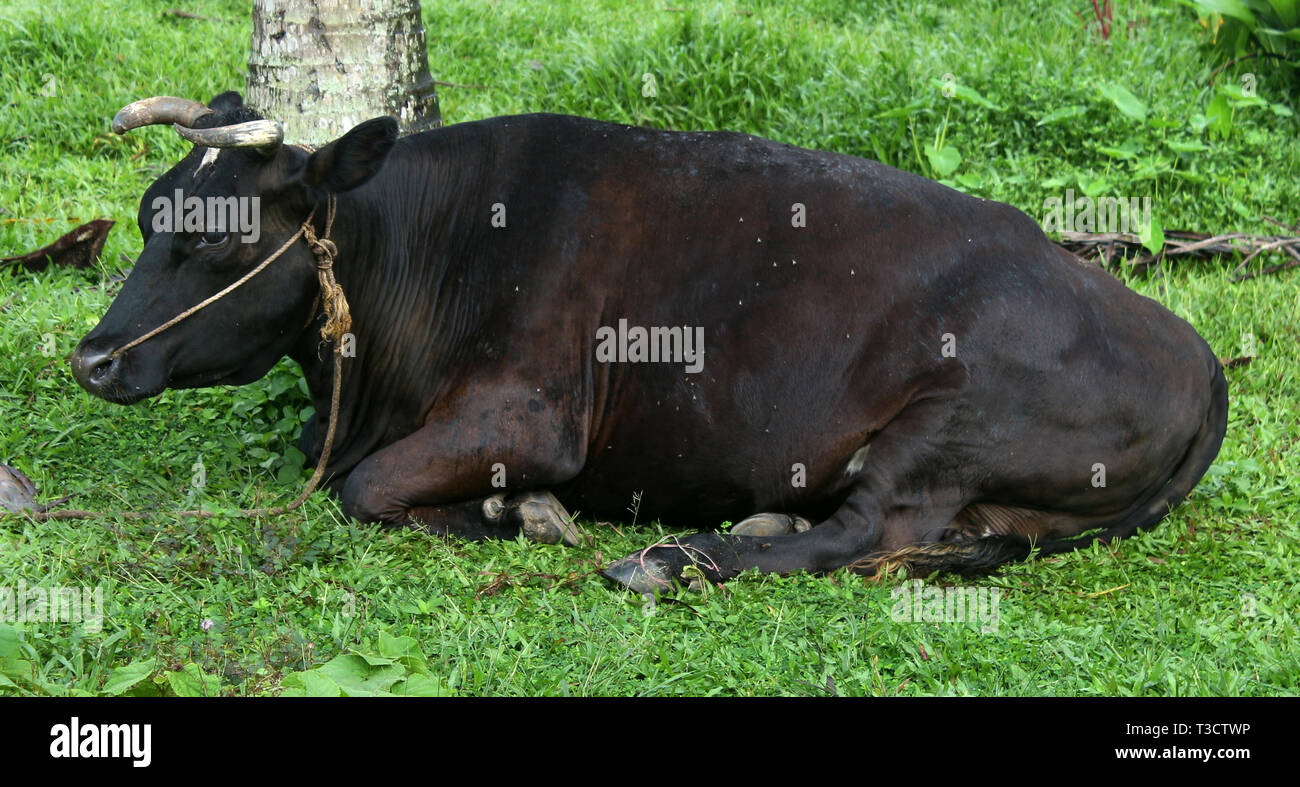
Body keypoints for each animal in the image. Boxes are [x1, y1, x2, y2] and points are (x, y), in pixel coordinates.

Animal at [73, 93, 1227, 587]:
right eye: (147, 215)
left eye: (219, 243)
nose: (92, 357)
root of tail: (1201, 355)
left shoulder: (529, 414)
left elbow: (366, 489)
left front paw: (520, 514)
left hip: (952, 420)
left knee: (866, 532)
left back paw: (672, 560)